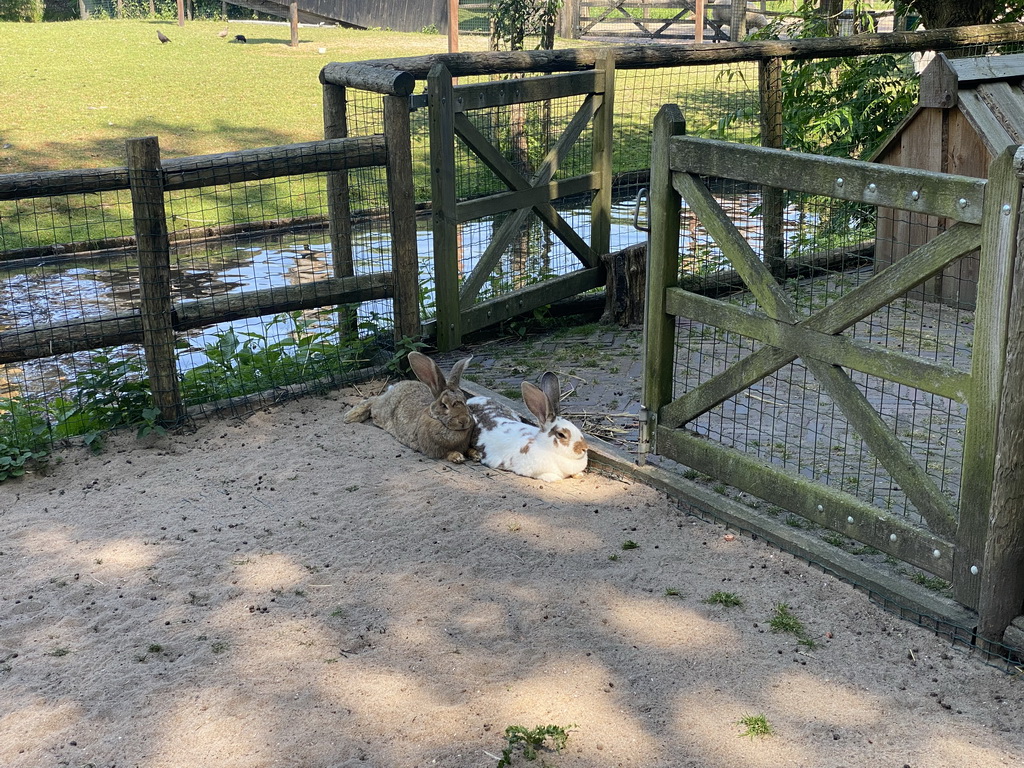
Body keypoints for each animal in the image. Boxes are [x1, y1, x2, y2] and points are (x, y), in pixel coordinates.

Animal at [339, 354, 475, 462]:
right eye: (443, 405)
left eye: (465, 401)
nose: (464, 420)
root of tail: (394, 387)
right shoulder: (433, 450)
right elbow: (446, 453)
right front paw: (457, 457)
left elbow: (469, 449)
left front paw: (475, 454)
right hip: (382, 411)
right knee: (373, 401)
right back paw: (351, 416)